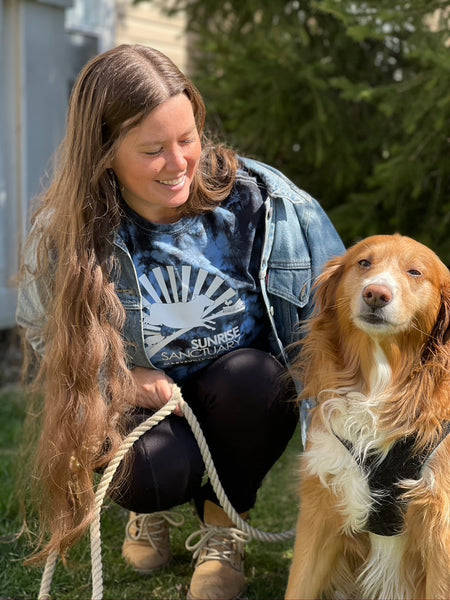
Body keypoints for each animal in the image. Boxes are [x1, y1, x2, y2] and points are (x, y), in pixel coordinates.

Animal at [286, 234, 450, 600]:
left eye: (415, 272)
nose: (376, 293)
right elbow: (299, 585)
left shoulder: (441, 525)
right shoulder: (320, 508)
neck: (380, 385)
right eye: (364, 263)